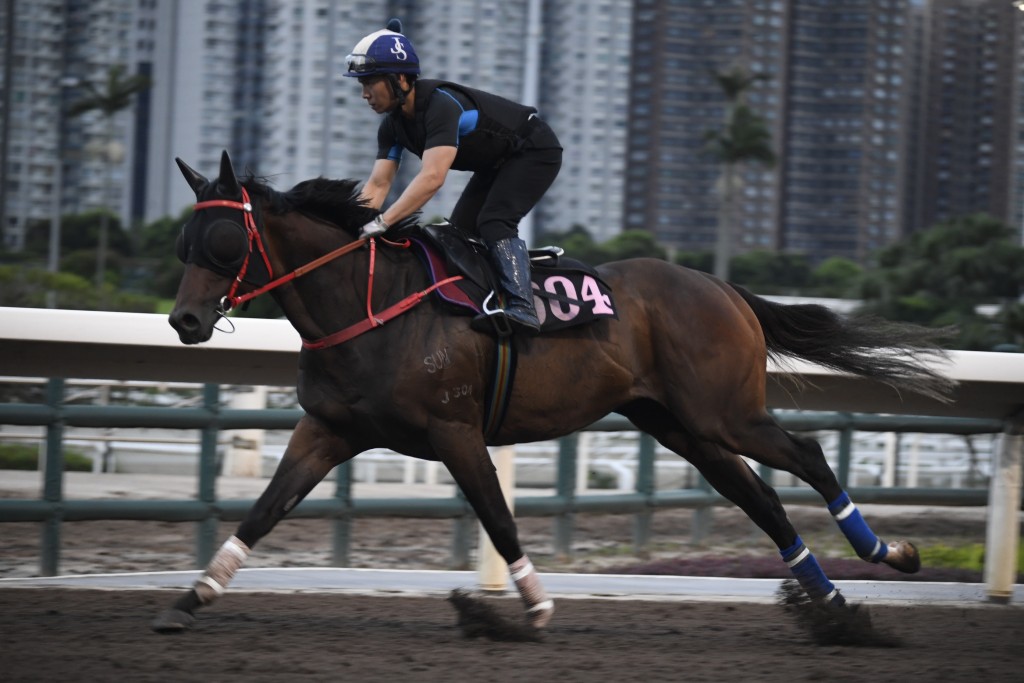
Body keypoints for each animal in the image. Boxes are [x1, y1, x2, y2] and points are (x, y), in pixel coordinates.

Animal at [151, 152, 950, 634]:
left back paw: (888, 554)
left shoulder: (454, 430)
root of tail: (723, 287)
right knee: (762, 500)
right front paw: (192, 597)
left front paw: (531, 608)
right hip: (683, 426)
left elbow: (499, 519)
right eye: (184, 242)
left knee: (807, 454)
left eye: (224, 240)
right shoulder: (328, 429)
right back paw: (832, 602)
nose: (185, 321)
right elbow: (263, 510)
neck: (368, 302)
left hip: (724, 412)